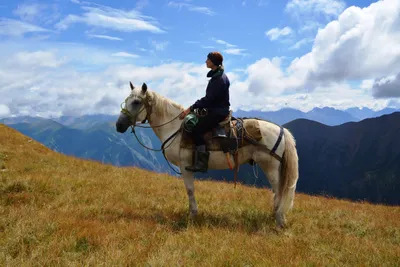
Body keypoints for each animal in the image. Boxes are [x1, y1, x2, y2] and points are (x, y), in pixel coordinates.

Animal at [114, 81, 298, 228]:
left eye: (136, 102)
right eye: (127, 100)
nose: (119, 125)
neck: (175, 127)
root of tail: (281, 130)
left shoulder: (185, 166)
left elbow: (189, 190)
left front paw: (192, 215)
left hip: (270, 167)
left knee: (279, 190)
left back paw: (279, 219)